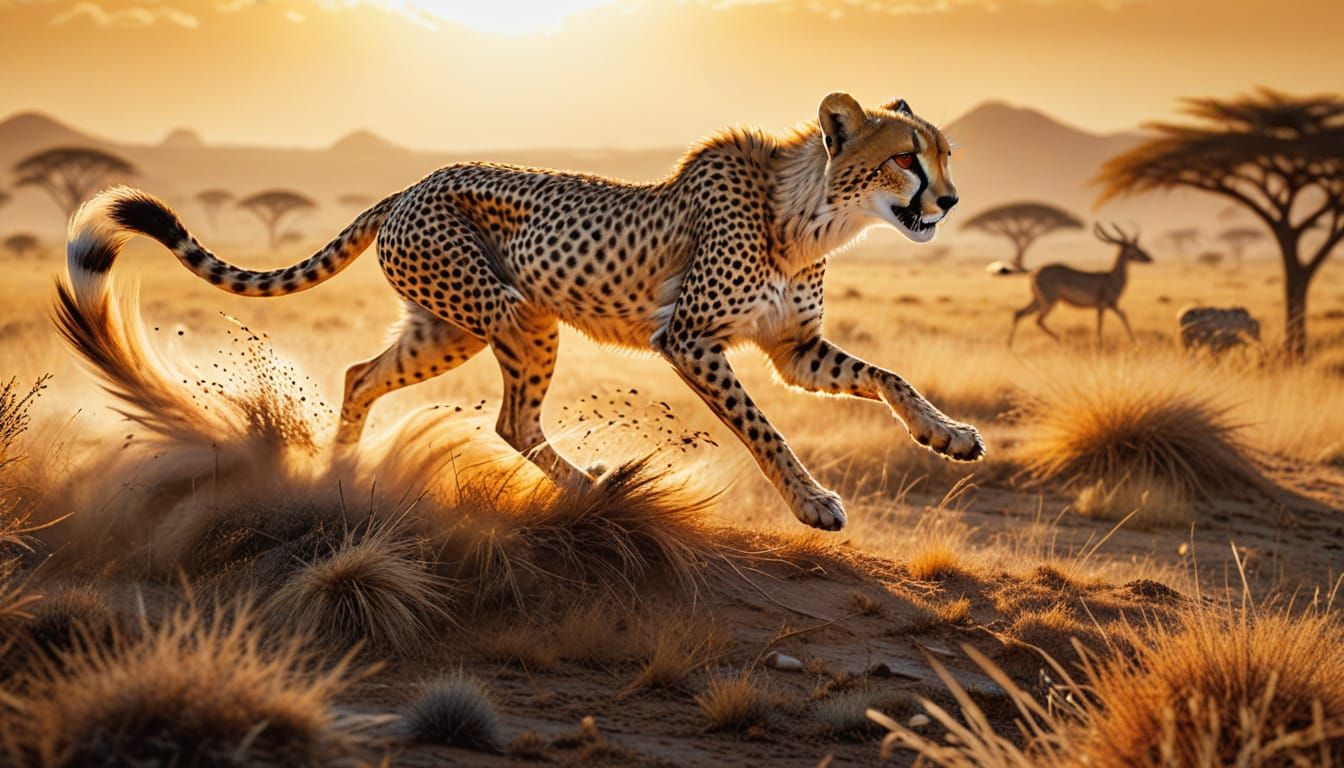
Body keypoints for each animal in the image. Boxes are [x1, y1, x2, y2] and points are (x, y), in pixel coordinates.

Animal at [1008, 223, 1152, 347]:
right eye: (1133, 248)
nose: (1149, 258)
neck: (1112, 278)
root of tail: (1033, 272)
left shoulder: (1107, 306)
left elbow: (1118, 318)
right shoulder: (1106, 304)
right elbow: (1109, 321)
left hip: (1038, 300)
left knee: (1018, 313)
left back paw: (1010, 346)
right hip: (1049, 301)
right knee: (1038, 320)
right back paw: (1062, 339)